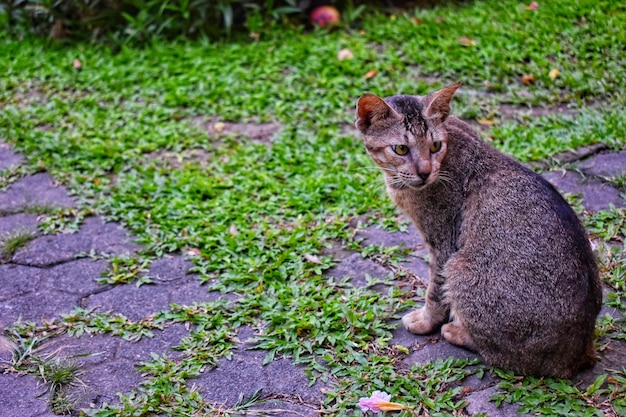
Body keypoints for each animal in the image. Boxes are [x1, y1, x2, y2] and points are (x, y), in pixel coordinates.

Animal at [354, 82, 604, 376]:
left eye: (435, 146)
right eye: (401, 149)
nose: (425, 171)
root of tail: (578, 354)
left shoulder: (443, 243)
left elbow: (434, 291)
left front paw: (426, 322)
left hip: (460, 268)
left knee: (504, 356)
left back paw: (457, 331)